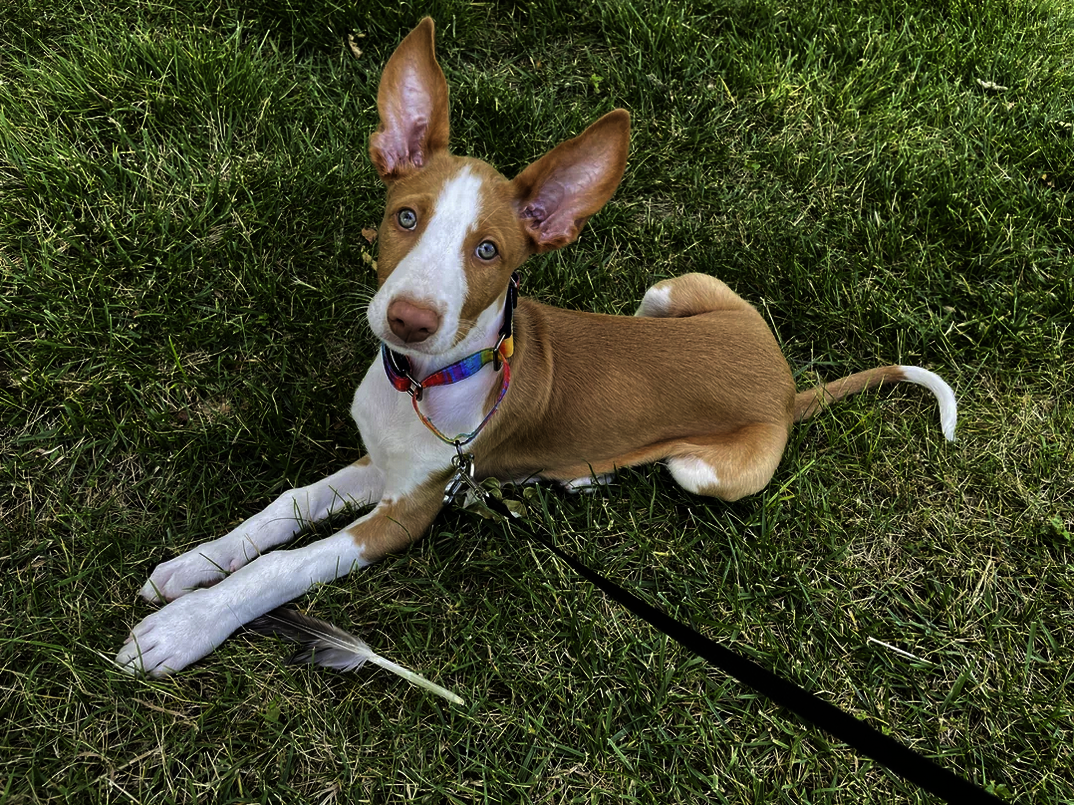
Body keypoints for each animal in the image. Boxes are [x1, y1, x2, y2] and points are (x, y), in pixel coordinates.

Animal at [117, 15, 958, 678]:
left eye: (489, 251)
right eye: (405, 217)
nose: (409, 319)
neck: (423, 383)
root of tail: (784, 382)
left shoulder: (407, 511)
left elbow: (285, 565)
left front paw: (183, 629)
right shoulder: (387, 467)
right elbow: (280, 510)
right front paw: (192, 566)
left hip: (707, 472)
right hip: (669, 290)